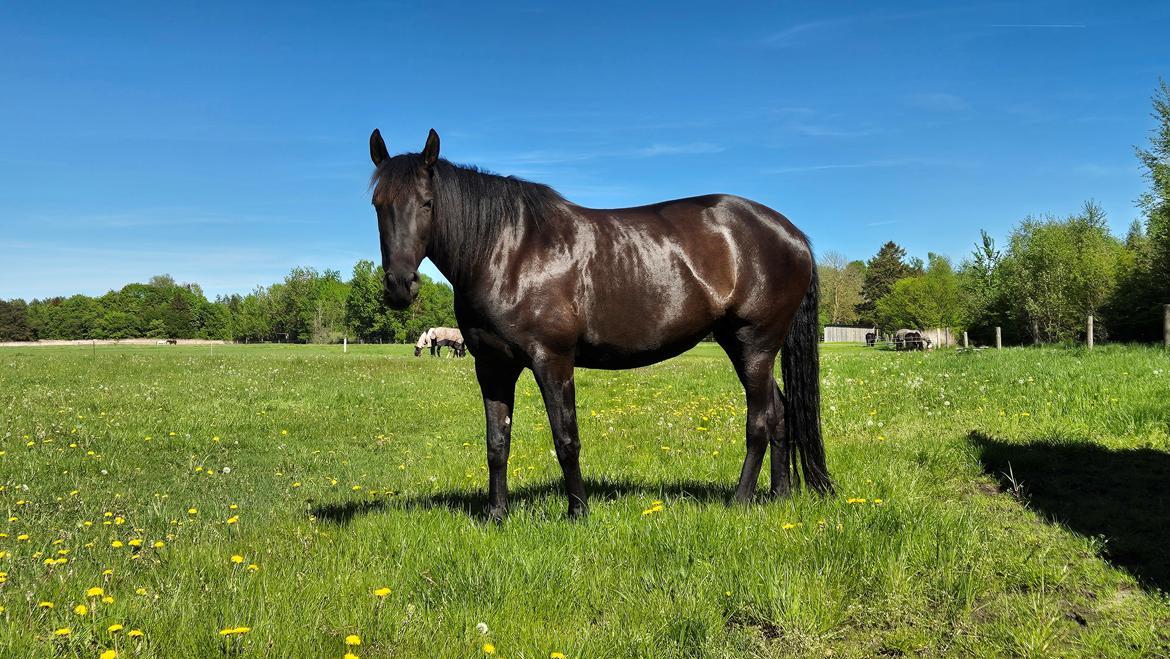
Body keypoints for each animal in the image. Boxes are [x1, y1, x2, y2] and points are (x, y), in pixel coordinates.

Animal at [365, 128, 833, 522]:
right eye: (378, 205)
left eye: (427, 203)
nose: (399, 286)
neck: (507, 252)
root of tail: (791, 234)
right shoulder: (492, 366)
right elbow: (497, 442)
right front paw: (496, 516)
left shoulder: (552, 362)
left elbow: (566, 438)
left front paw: (578, 513)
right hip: (744, 347)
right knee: (780, 413)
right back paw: (778, 496)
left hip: (755, 345)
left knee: (760, 420)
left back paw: (739, 501)